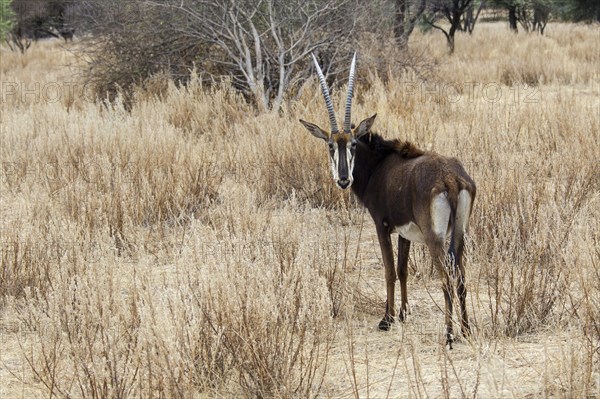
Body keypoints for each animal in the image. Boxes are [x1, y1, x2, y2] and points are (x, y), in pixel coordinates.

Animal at [300, 53, 478, 346]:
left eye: (352, 145)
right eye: (330, 145)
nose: (343, 179)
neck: (379, 165)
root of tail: (450, 179)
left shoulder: (381, 226)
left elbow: (389, 270)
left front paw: (387, 319)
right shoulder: (406, 232)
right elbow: (403, 269)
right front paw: (404, 313)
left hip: (435, 238)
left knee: (445, 277)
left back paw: (449, 334)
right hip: (460, 233)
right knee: (461, 276)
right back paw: (466, 330)